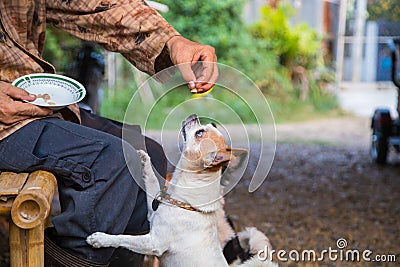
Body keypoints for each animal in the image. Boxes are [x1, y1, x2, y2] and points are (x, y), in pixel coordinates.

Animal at [86, 115, 278, 267]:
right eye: (207, 127)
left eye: (199, 133)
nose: (195, 116)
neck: (184, 202)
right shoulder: (152, 211)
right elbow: (151, 180)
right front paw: (144, 159)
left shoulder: (153, 243)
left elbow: (123, 238)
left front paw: (100, 239)